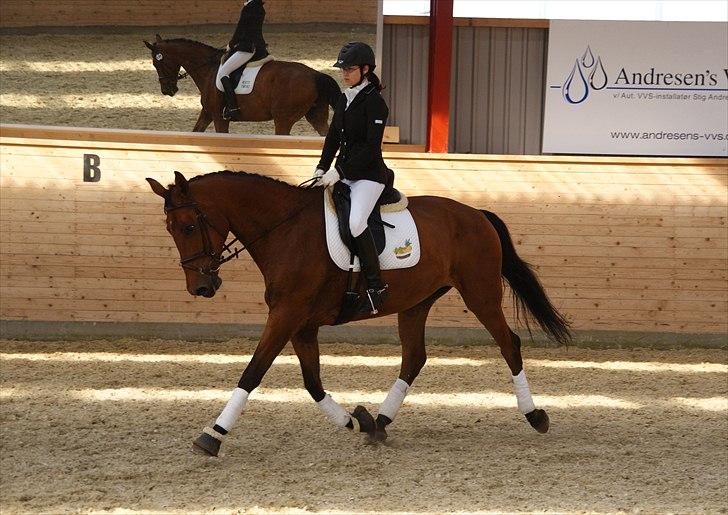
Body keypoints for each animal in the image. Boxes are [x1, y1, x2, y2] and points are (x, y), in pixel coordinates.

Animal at [146, 35, 342, 134]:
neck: (208, 69)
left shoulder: (219, 117)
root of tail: (316, 74)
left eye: (156, 63)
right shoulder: (207, 113)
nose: (167, 90)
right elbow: (196, 132)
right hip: (316, 116)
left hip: (283, 120)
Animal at [146, 171, 568, 458]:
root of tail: (476, 214)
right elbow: (312, 383)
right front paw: (355, 421)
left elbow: (252, 373)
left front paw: (212, 435)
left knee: (509, 344)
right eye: (169, 230)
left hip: (480, 294)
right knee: (414, 358)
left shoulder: (286, 316)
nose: (201, 287)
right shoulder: (301, 324)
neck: (285, 231)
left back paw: (536, 416)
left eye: (188, 226)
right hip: (416, 302)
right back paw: (379, 422)